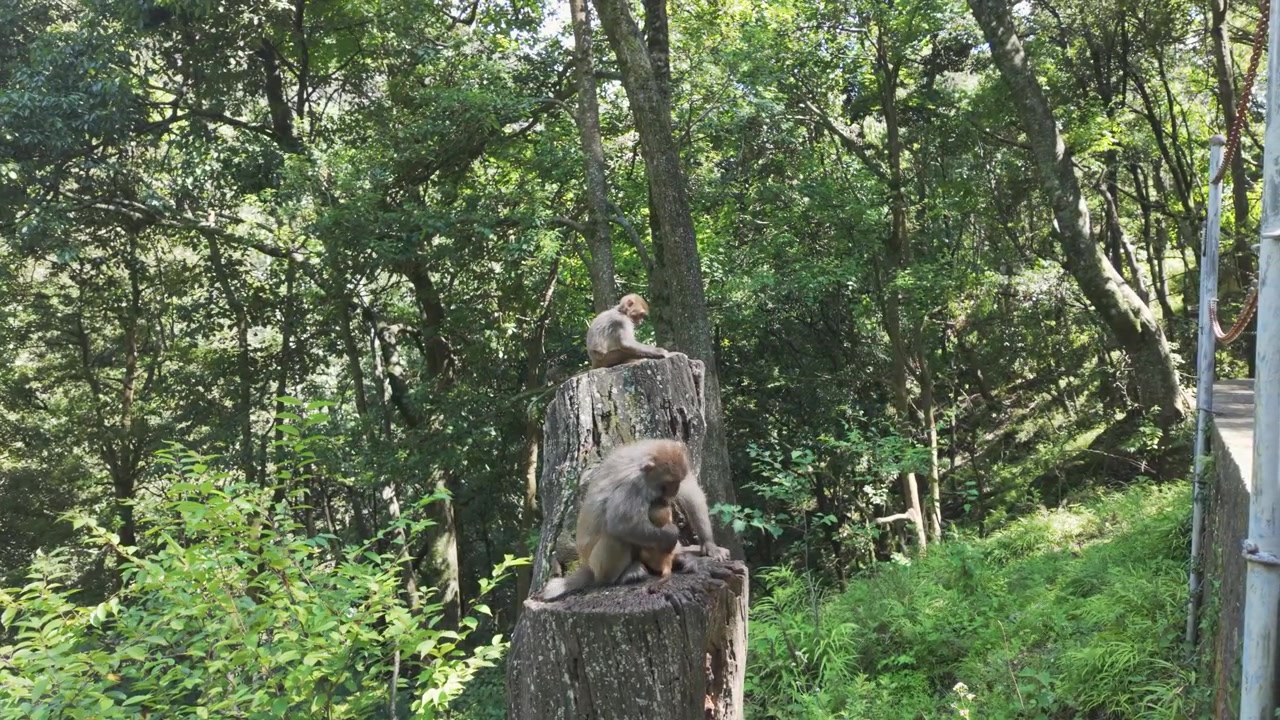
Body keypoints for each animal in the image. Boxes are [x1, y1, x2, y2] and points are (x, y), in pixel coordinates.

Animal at [541, 439, 730, 600]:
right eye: (668, 483)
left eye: (678, 481)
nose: (674, 490)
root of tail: (589, 566)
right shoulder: (632, 483)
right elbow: (619, 523)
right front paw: (671, 535)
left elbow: (691, 493)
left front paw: (709, 544)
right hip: (598, 566)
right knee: (615, 538)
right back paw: (624, 574)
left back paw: (680, 560)